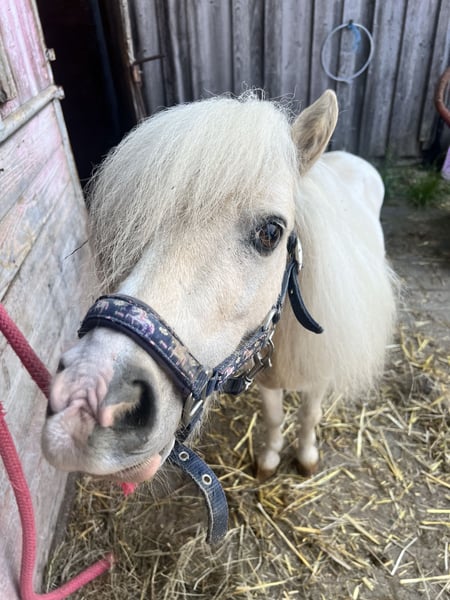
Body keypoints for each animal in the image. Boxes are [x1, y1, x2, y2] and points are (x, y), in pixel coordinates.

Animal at [42, 90, 396, 486]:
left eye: (271, 232)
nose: (83, 401)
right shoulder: (265, 380)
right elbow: (274, 417)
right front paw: (269, 459)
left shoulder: (318, 376)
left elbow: (308, 416)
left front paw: (305, 458)